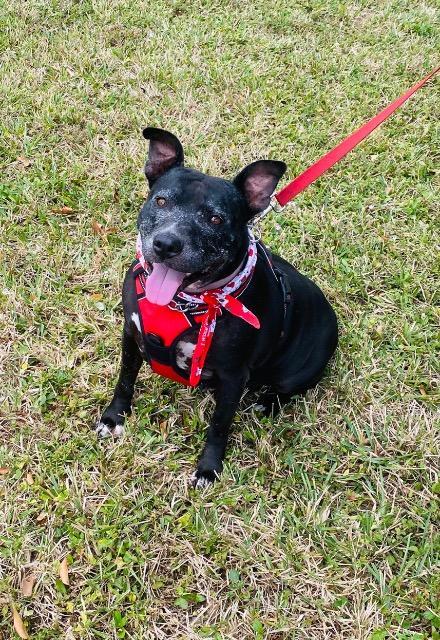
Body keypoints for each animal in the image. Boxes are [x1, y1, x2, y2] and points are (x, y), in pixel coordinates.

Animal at [97, 127, 336, 488]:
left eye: (215, 219)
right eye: (161, 200)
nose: (166, 244)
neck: (184, 302)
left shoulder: (233, 377)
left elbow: (220, 425)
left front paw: (208, 468)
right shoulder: (131, 336)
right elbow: (125, 380)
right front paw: (114, 418)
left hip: (299, 372)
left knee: (284, 391)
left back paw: (264, 405)